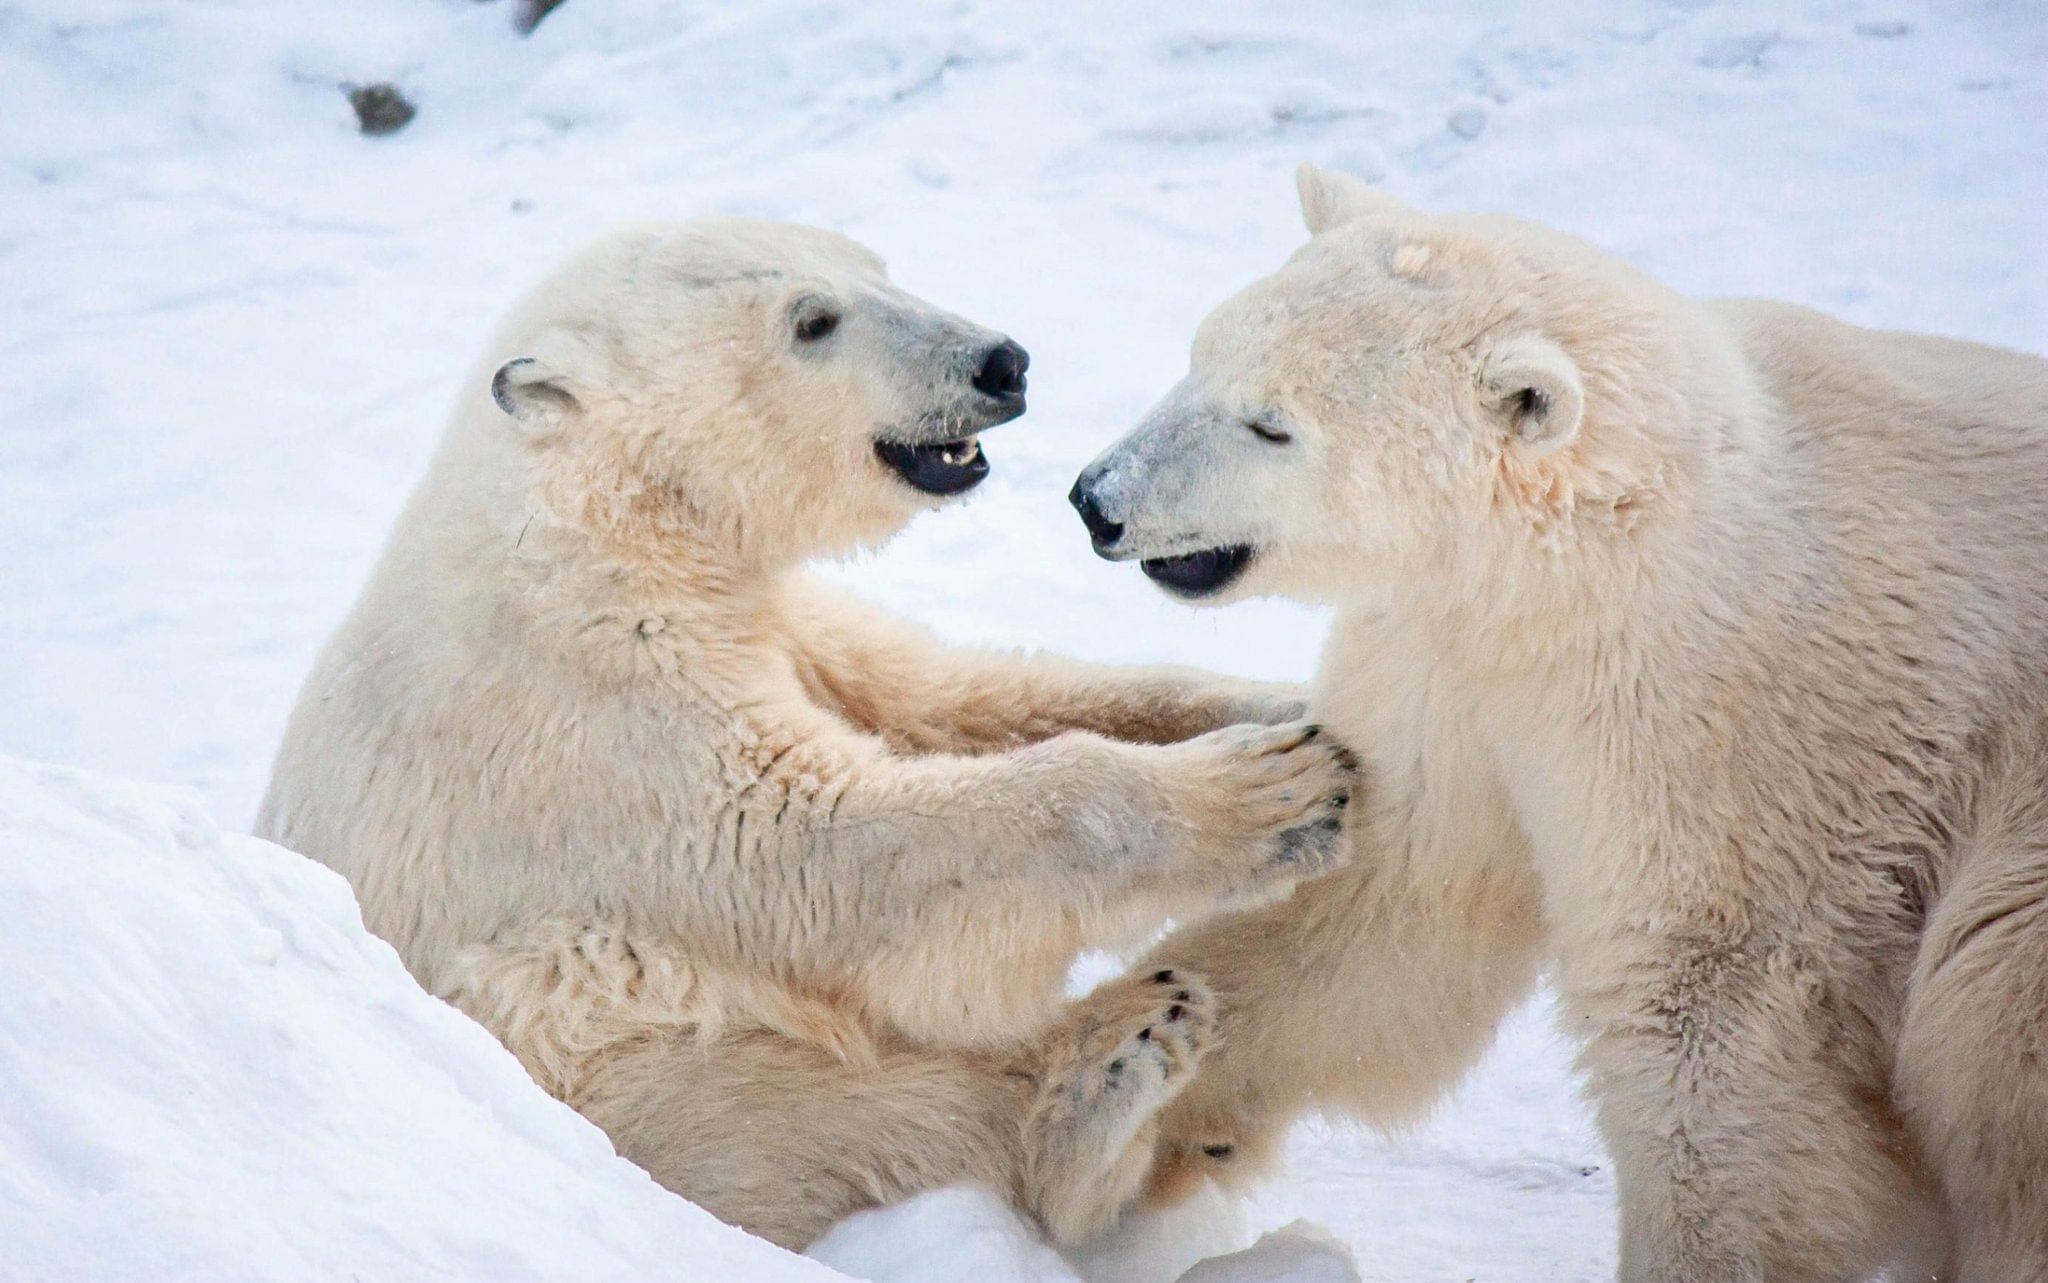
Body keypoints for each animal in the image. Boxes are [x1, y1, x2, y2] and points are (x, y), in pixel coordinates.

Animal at [260, 215, 1359, 1246]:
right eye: (813, 319)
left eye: (876, 267)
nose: (1001, 362)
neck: (593, 528)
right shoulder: (585, 718)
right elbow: (818, 848)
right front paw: (1275, 793)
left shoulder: (781, 621)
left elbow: (955, 694)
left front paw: (1277, 704)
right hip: (558, 1053)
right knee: (760, 1106)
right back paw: (1104, 1073)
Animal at [1073, 167, 2048, 1278]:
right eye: (1200, 354)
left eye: (1272, 424)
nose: (1096, 498)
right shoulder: (1460, 668)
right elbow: (1383, 913)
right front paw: (1104, 1108)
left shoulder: (1725, 730)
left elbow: (1709, 1024)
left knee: (1987, 1022)